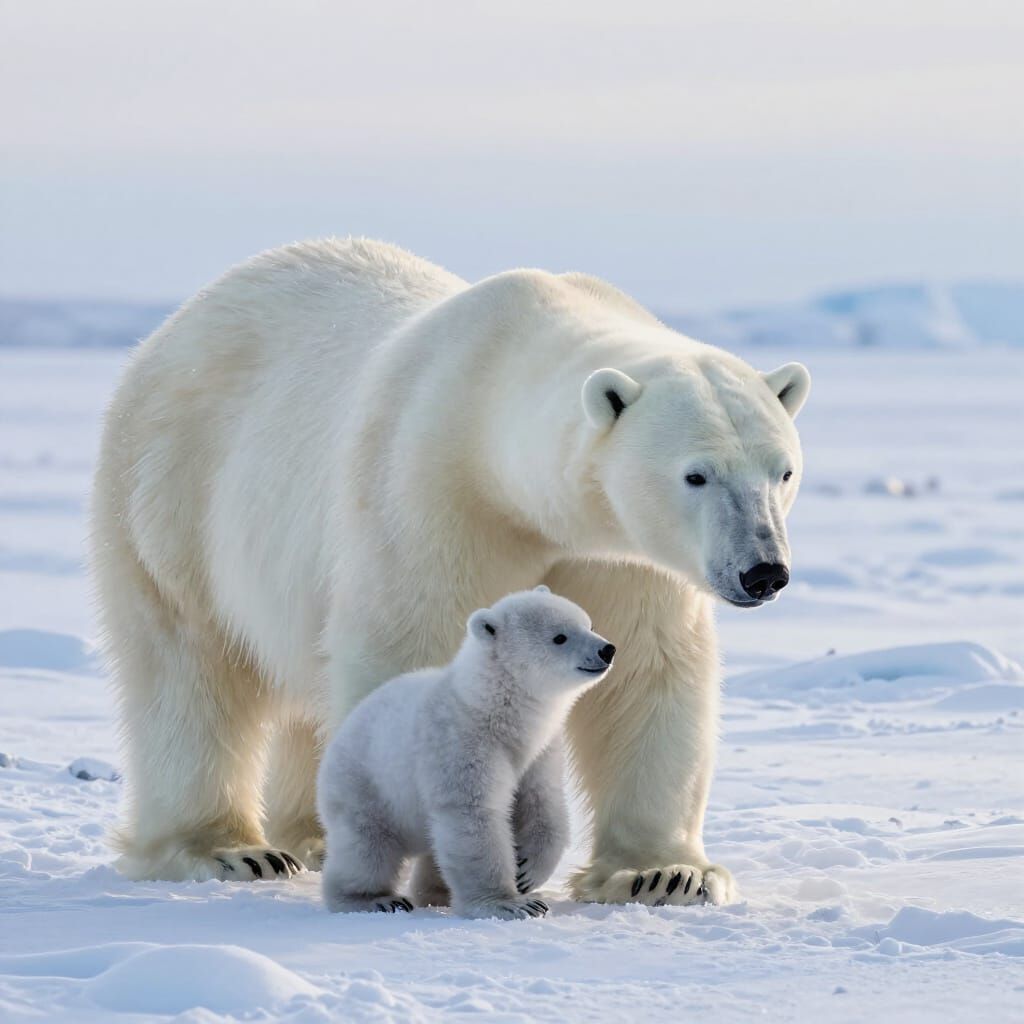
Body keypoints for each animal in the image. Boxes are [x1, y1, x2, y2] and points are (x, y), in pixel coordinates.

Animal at [317, 587, 615, 919]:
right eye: (559, 637)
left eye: (588, 623)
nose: (607, 650)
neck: (493, 709)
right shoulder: (462, 743)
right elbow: (473, 814)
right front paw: (512, 904)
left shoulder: (539, 751)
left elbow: (543, 802)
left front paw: (527, 872)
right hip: (365, 785)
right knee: (367, 848)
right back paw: (374, 899)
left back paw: (435, 891)